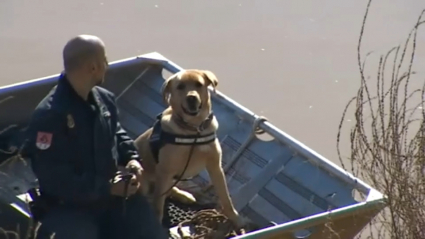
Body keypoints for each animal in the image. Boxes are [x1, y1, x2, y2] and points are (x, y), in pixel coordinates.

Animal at [134, 69, 243, 228]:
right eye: (180, 87)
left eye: (199, 84)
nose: (192, 98)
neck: (194, 130)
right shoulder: (165, 170)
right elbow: (158, 205)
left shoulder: (215, 167)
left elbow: (225, 197)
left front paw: (235, 218)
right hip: (143, 178)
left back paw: (184, 195)